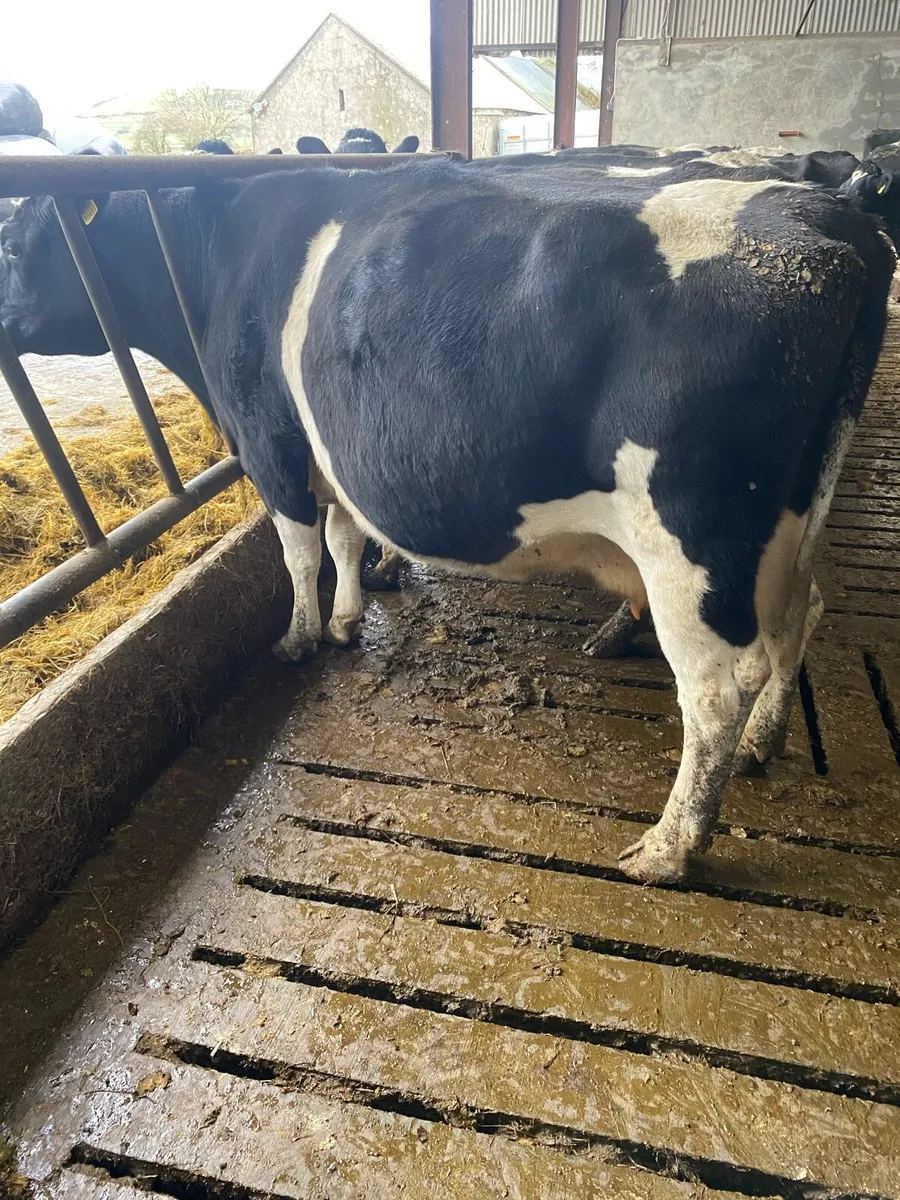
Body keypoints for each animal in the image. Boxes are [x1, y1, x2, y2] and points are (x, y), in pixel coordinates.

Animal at [1, 160, 896, 885]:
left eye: (12, 243)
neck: (216, 256)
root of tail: (833, 227)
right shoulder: (322, 453)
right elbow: (343, 537)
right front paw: (347, 619)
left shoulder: (269, 440)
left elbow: (298, 551)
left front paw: (299, 637)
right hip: (787, 527)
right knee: (798, 618)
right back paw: (762, 742)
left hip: (695, 533)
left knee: (718, 684)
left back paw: (668, 849)